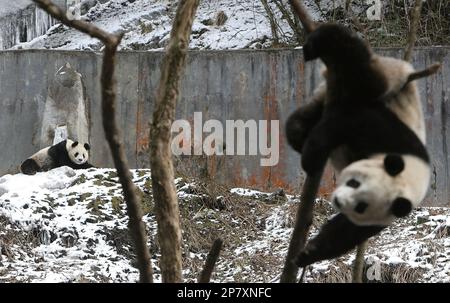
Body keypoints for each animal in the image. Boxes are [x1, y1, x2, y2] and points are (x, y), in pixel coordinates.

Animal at [284, 23, 432, 266]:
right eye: (354, 183)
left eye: (361, 206)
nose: (338, 200)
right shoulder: (390, 135)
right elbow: (344, 124)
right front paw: (311, 158)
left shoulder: (385, 213)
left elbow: (348, 231)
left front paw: (308, 253)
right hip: (380, 80)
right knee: (358, 66)